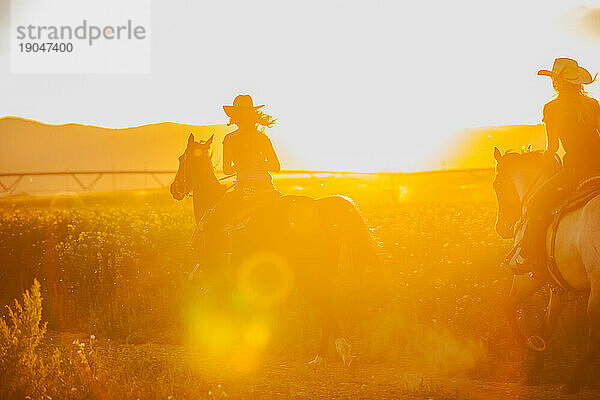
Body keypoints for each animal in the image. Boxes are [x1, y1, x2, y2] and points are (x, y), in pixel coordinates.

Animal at [169, 134, 380, 368]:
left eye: (181, 159)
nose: (174, 189)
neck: (211, 203)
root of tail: (321, 206)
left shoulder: (217, 278)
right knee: (327, 307)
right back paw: (327, 355)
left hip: (309, 275)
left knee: (325, 307)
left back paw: (332, 354)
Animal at [492, 145, 600, 392]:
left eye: (497, 185)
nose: (501, 227)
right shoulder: (558, 287)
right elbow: (547, 328)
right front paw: (533, 372)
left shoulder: (531, 278)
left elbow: (508, 306)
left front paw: (526, 344)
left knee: (593, 341)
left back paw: (572, 382)